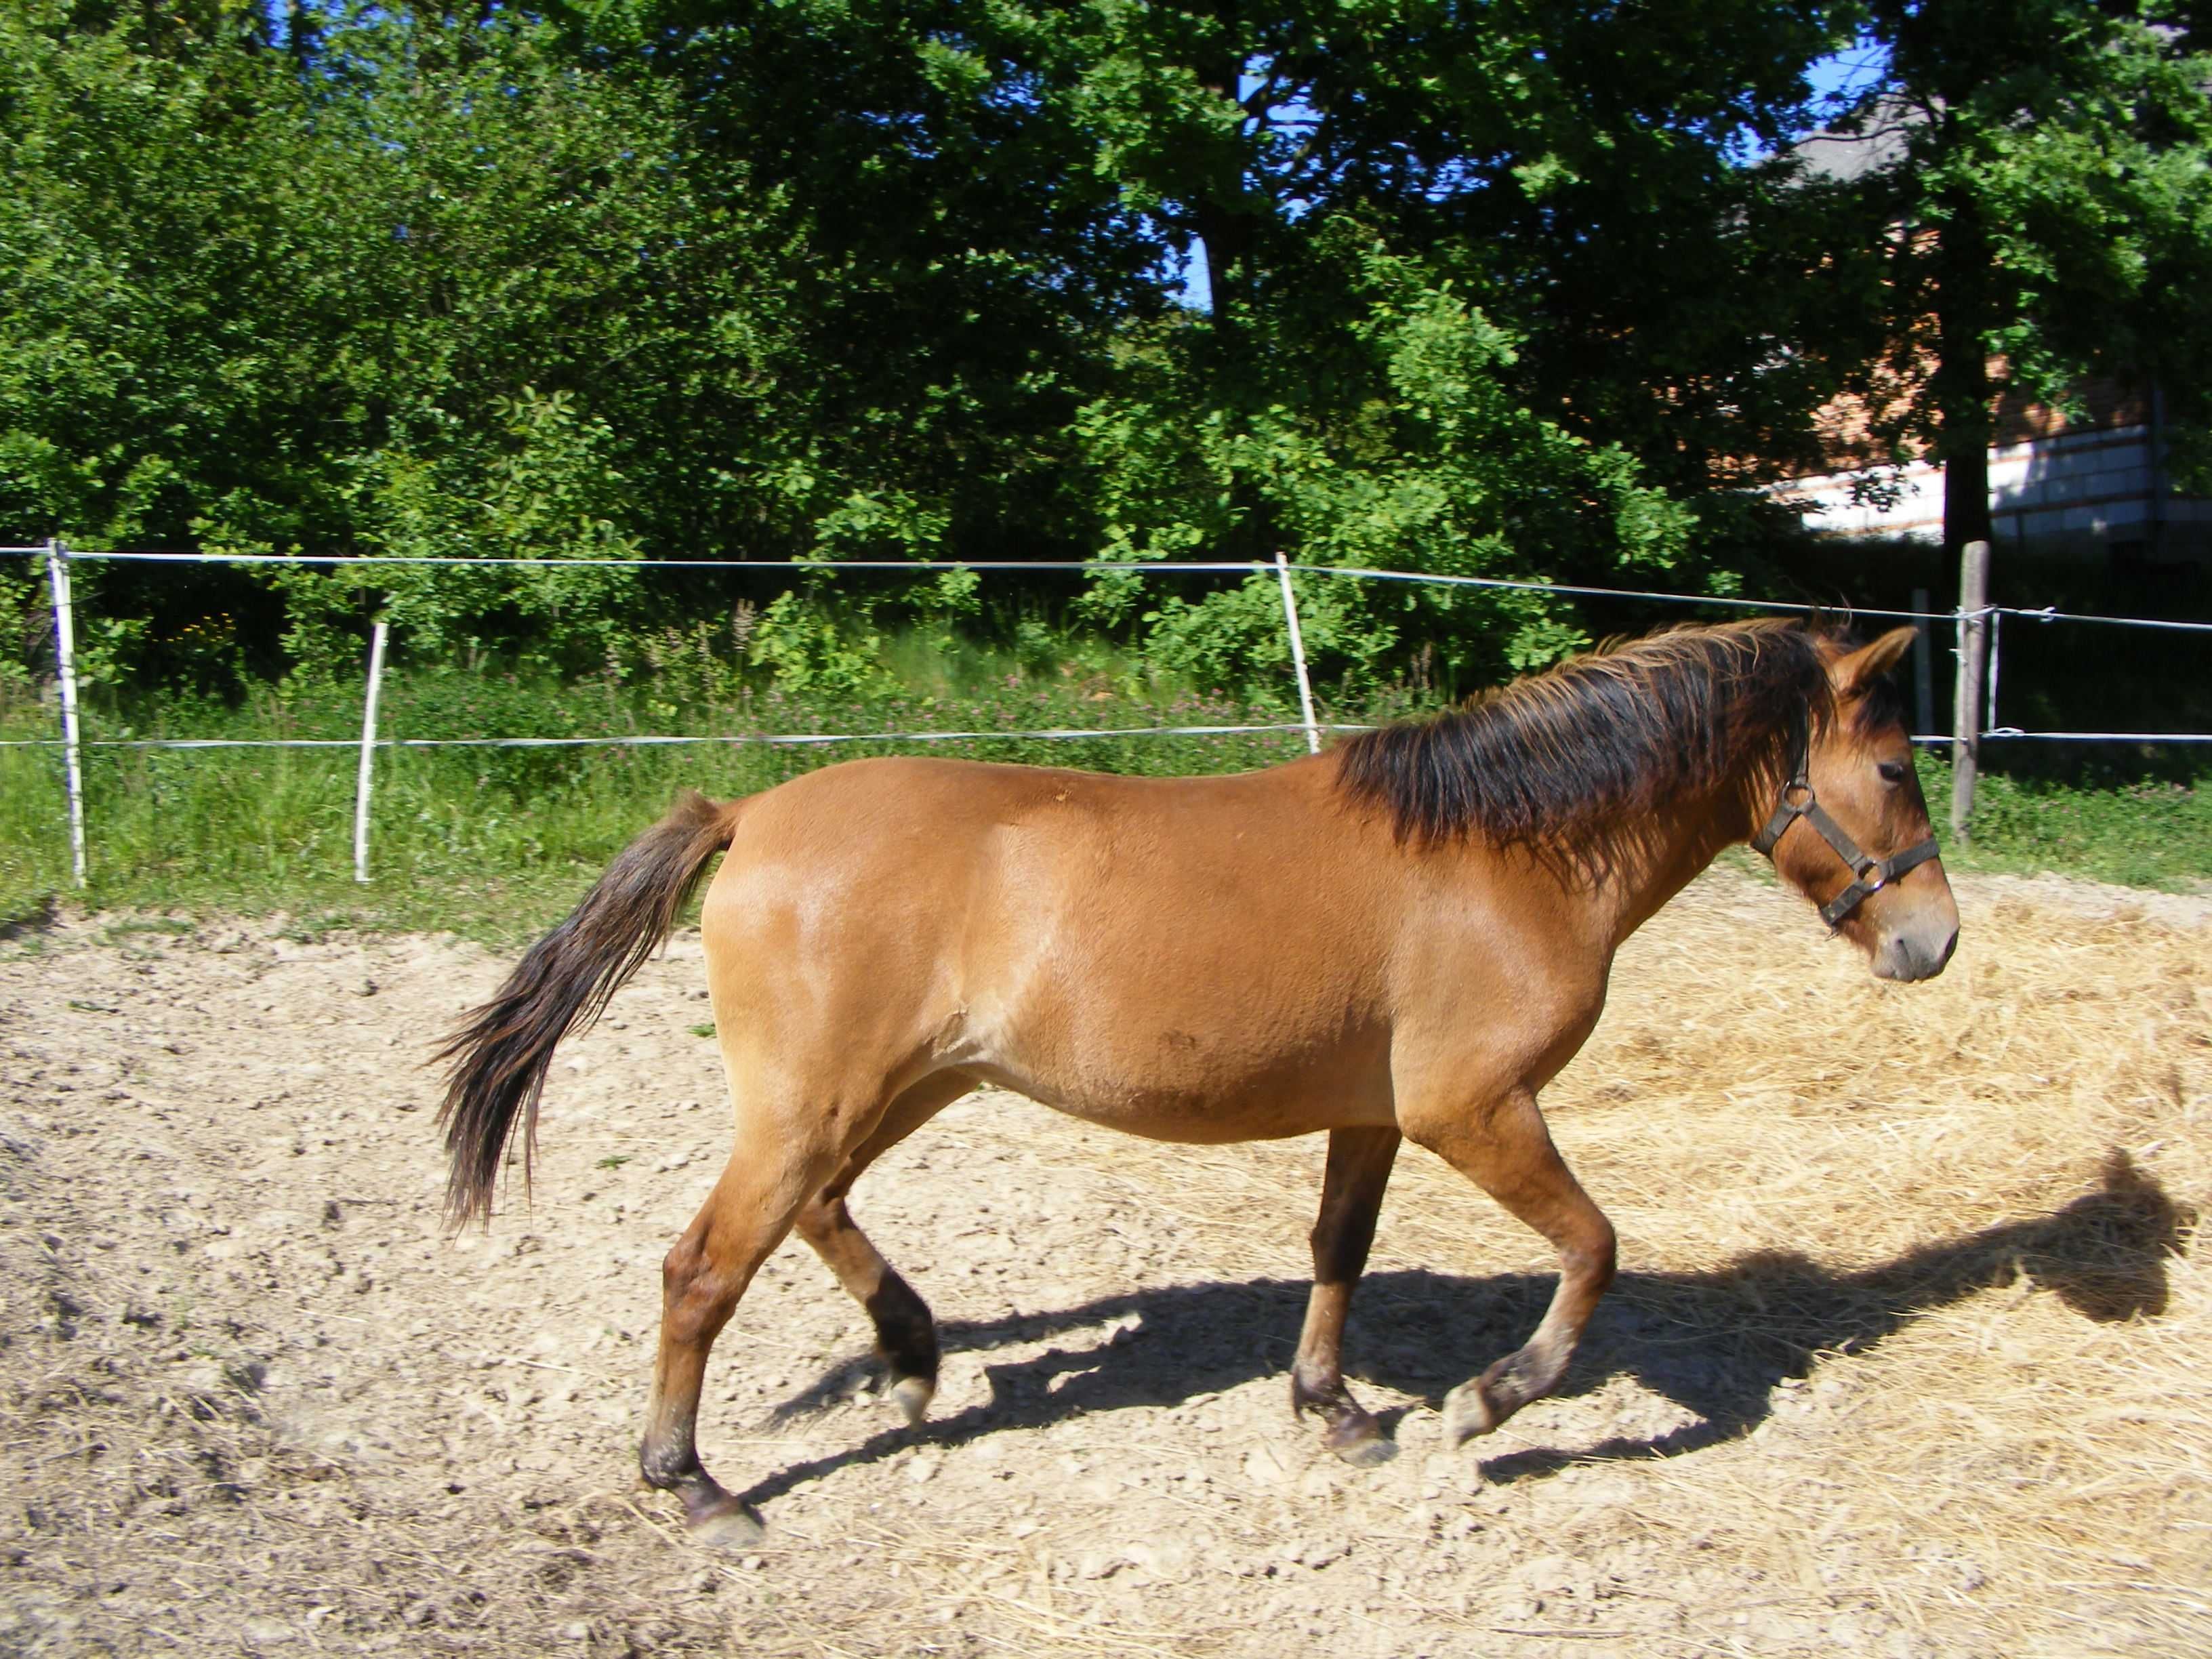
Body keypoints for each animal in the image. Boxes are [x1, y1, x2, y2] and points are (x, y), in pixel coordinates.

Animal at [431, 619, 1955, 1557]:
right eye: (1891, 764)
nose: (1931, 941)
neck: (1498, 850)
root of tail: (746, 815)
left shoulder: (1371, 1115)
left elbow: (1338, 1249)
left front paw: (1334, 1410)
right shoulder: (1471, 1110)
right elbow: (1592, 1249)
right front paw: (1485, 1402)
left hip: (901, 1088)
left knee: (815, 1215)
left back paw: (915, 1354)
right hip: (823, 1100)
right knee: (703, 1268)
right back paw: (697, 1488)